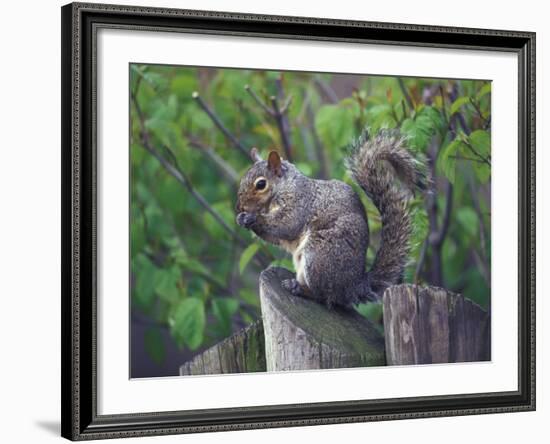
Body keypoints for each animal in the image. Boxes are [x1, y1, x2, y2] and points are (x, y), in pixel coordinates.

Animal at [235, 128, 430, 308]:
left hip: (319, 255)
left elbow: (285, 225)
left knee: (323, 296)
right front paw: (241, 218)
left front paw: (253, 218)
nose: (240, 207)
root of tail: (355, 286)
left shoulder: (299, 204)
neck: (284, 188)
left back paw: (299, 288)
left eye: (261, 184)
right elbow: (275, 237)